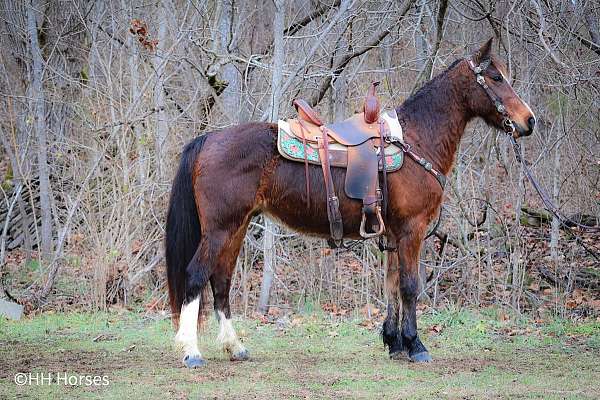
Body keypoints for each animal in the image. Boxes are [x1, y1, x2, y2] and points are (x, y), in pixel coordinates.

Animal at [164, 39, 536, 368]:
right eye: (496, 77)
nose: (529, 120)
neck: (415, 140)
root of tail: (209, 138)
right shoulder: (412, 230)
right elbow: (410, 286)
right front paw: (416, 345)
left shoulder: (393, 235)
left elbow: (391, 285)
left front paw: (394, 343)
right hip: (219, 230)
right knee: (196, 276)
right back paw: (191, 352)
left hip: (236, 228)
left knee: (221, 282)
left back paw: (235, 347)